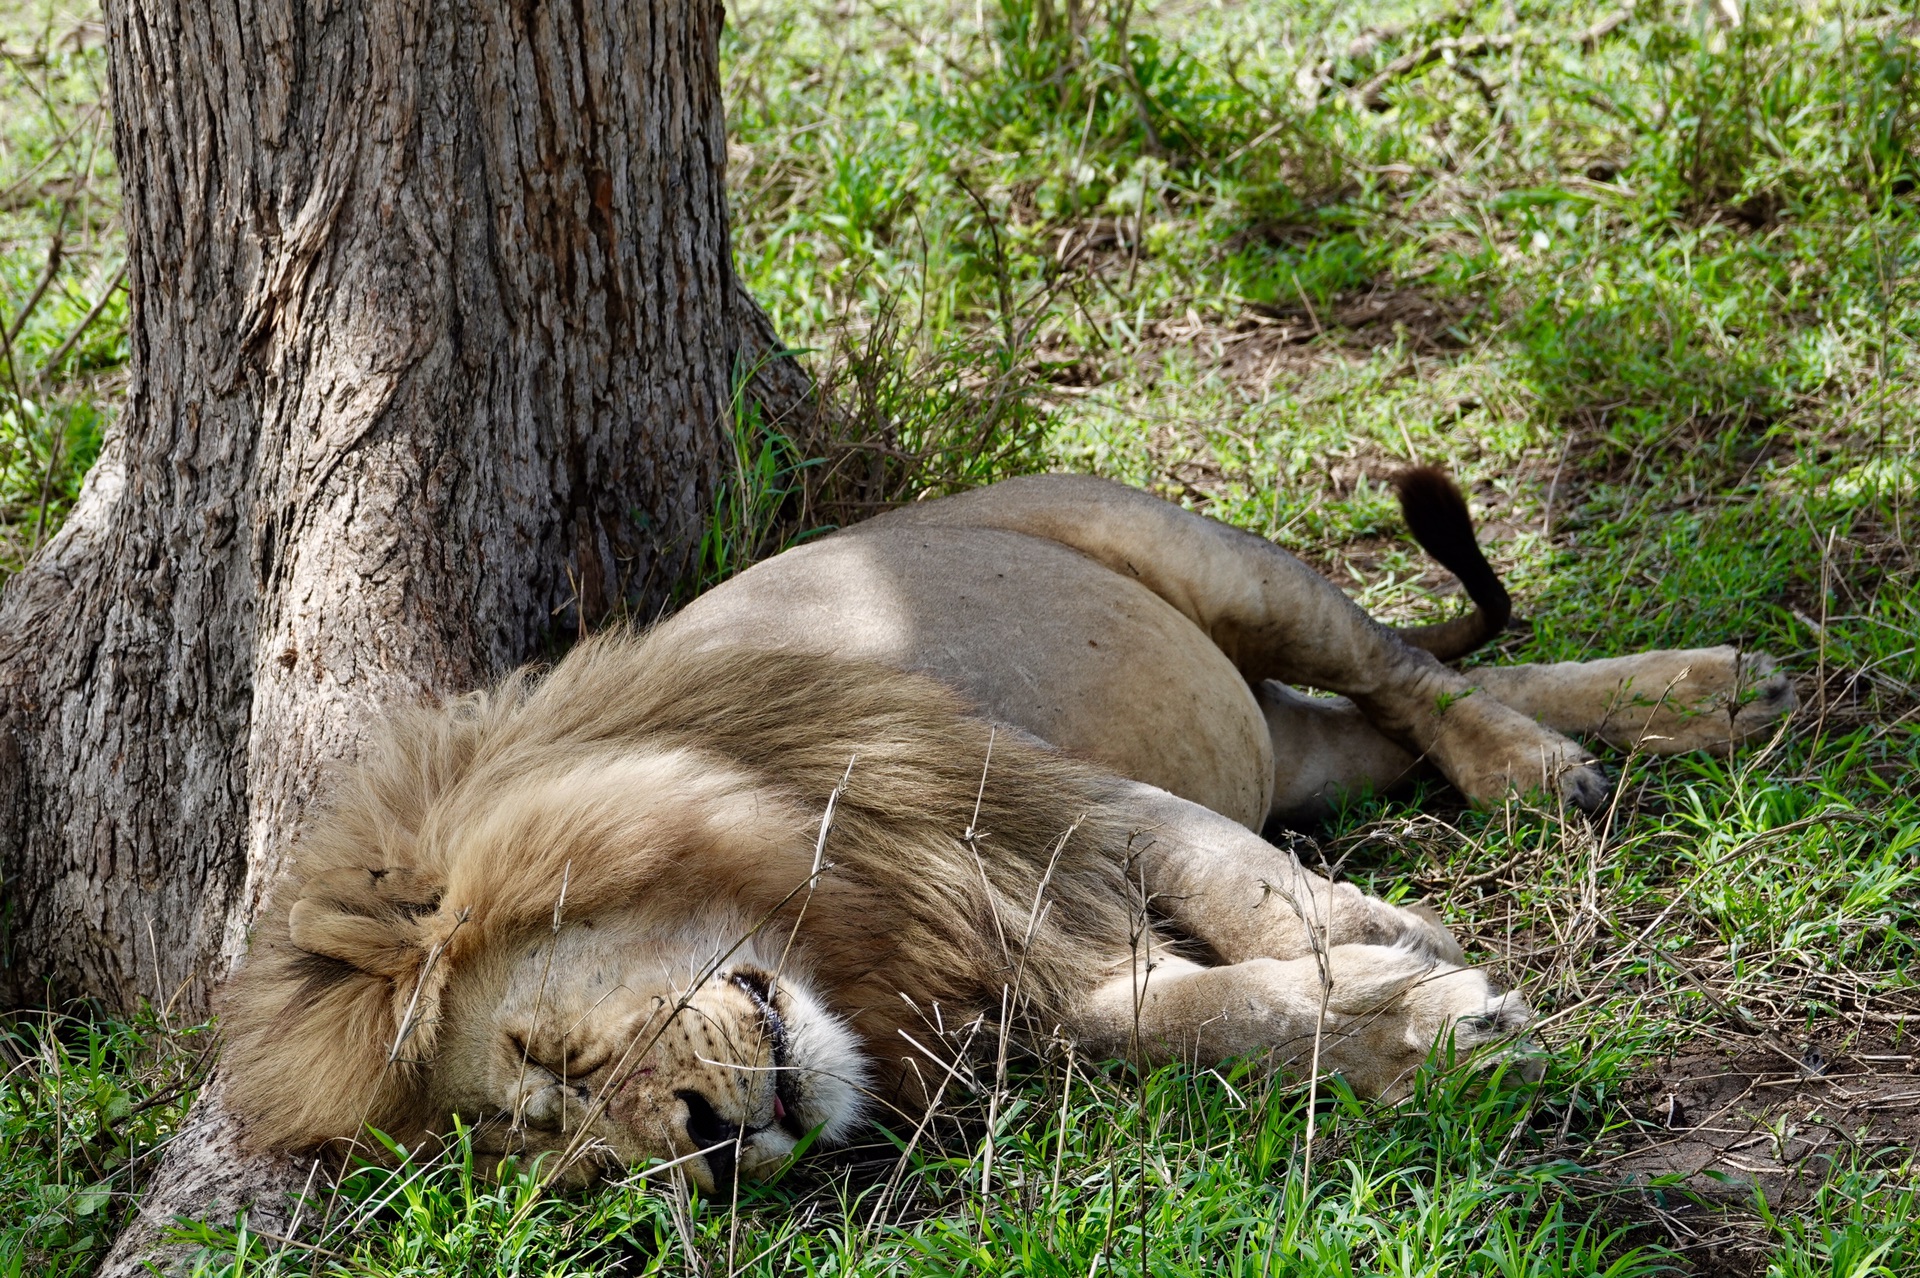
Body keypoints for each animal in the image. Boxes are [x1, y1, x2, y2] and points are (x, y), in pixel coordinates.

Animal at [220, 468, 1781, 1182]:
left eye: (553, 1055)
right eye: (577, 1152)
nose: (709, 1151)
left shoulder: (1056, 805)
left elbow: (1247, 895)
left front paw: (1381, 943)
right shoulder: (1013, 971)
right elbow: (1192, 1012)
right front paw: (1412, 1026)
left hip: (1208, 560)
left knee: (1402, 666)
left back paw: (1565, 759)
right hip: (1280, 740)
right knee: (1411, 709)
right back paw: (1705, 696)